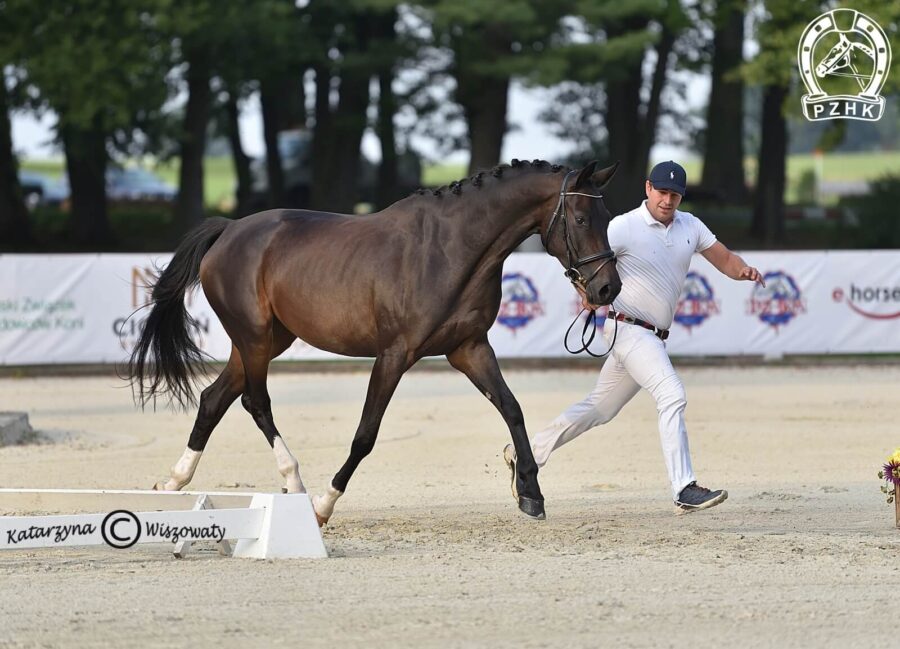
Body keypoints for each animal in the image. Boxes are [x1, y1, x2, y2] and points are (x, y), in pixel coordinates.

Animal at [128, 157, 620, 520]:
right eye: (580, 218)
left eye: (608, 216)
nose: (606, 290)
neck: (452, 249)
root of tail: (229, 230)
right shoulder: (395, 354)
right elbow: (365, 434)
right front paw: (325, 504)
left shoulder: (469, 349)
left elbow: (512, 409)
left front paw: (530, 493)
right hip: (254, 340)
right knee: (255, 402)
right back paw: (296, 484)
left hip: (266, 341)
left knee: (214, 400)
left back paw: (172, 483)